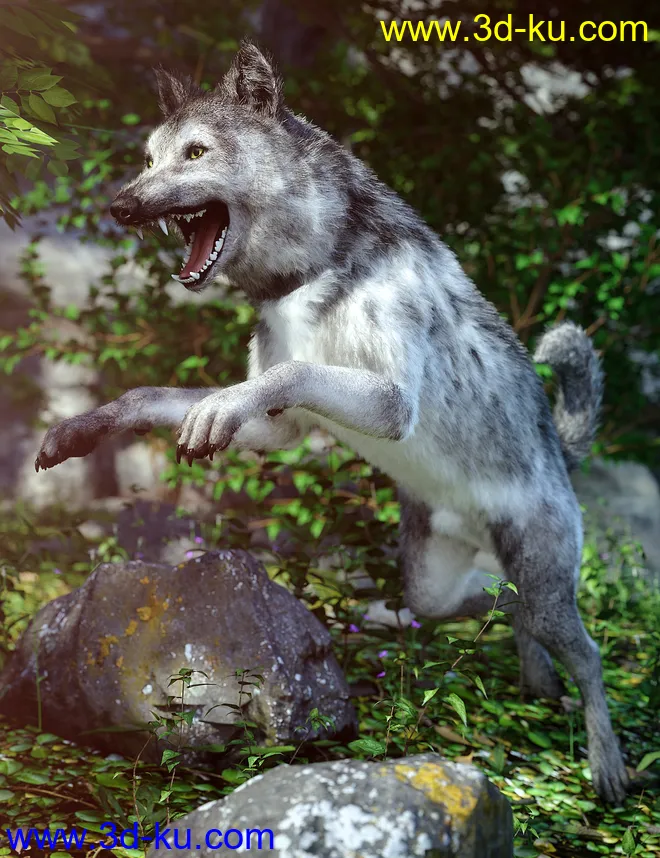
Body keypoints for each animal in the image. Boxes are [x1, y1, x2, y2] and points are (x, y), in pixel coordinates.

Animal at [35, 40, 628, 803]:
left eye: (195, 153)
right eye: (147, 159)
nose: (122, 205)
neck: (312, 267)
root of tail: (561, 451)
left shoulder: (389, 402)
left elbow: (292, 372)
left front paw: (212, 410)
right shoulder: (278, 429)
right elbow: (152, 395)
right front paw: (82, 428)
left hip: (549, 586)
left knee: (588, 656)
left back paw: (606, 761)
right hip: (438, 587)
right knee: (502, 608)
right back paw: (535, 679)